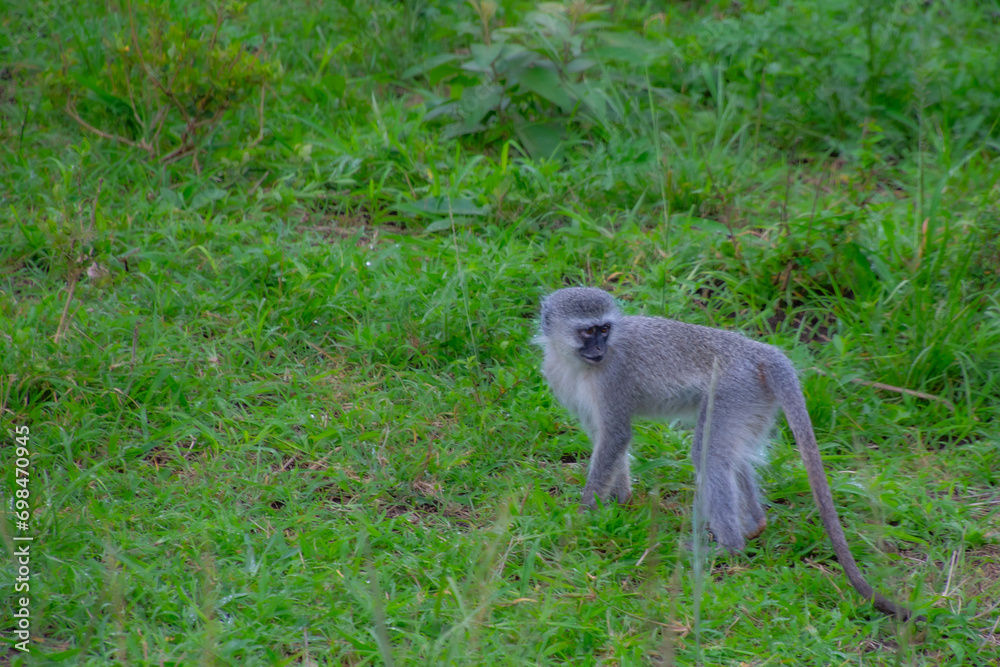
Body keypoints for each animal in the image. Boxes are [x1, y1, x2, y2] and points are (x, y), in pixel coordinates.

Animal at [540, 288, 916, 620]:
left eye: (604, 329)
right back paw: (754, 525)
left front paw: (584, 515)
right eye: (589, 331)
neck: (576, 361)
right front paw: (617, 504)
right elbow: (605, 440)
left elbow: (616, 437)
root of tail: (760, 351)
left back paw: (729, 547)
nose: (600, 347)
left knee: (708, 454)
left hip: (733, 389)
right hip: (754, 398)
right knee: (733, 454)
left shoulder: (613, 378)